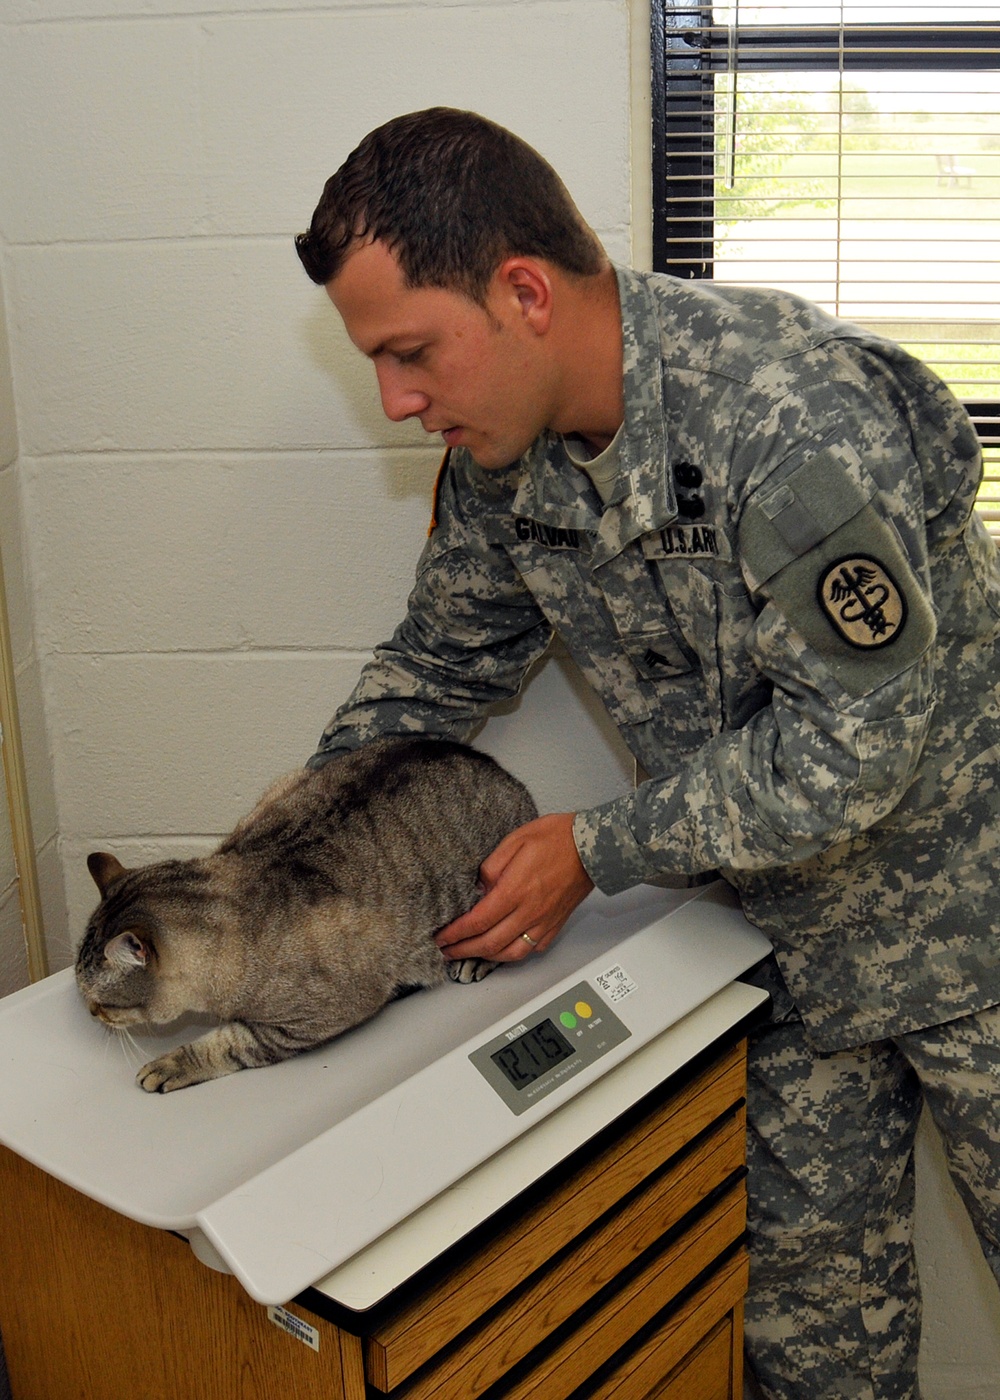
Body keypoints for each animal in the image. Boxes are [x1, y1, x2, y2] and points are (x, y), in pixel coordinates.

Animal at [75, 733, 537, 1092]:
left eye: (100, 1002)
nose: (90, 1015)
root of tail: (508, 778)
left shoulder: (306, 1022)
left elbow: (229, 1044)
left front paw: (174, 1063)